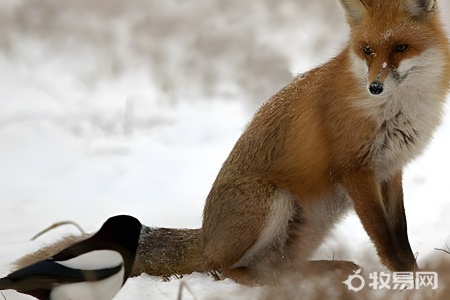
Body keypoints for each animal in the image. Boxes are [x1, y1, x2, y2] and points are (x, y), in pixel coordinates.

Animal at [10, 0, 450, 286]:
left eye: (400, 48)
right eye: (367, 50)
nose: (375, 87)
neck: (398, 110)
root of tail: (205, 236)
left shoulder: (390, 170)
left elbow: (401, 236)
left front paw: (415, 278)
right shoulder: (355, 170)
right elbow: (386, 240)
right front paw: (408, 284)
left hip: (311, 222)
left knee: (280, 266)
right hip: (272, 202)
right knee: (230, 270)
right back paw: (264, 281)